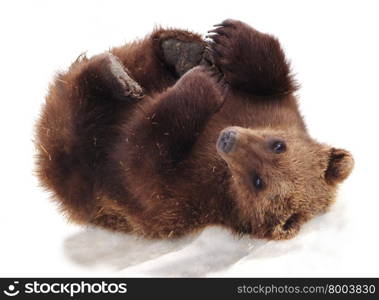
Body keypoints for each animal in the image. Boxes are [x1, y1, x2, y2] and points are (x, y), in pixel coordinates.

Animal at [35, 19, 354, 239]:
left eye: (258, 181)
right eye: (278, 145)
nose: (228, 138)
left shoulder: (184, 193)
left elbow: (139, 158)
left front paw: (205, 83)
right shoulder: (276, 107)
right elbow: (271, 74)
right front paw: (229, 38)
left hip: (76, 163)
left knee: (77, 111)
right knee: (137, 58)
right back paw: (179, 51)